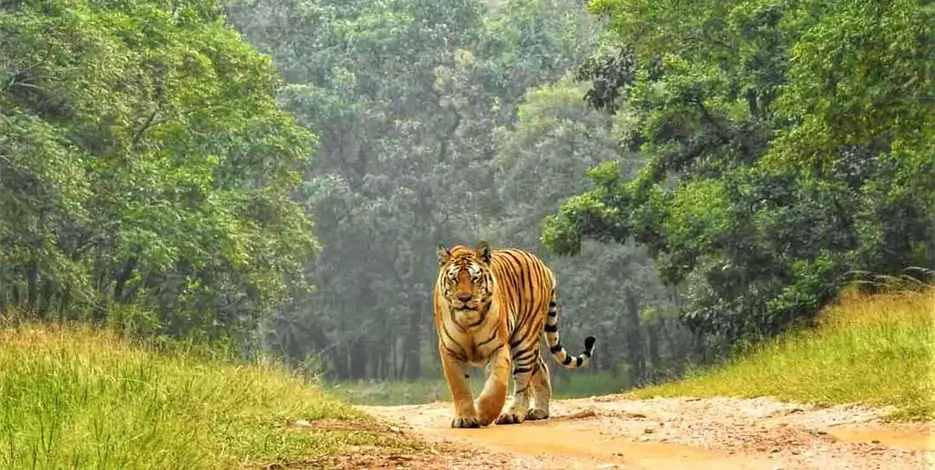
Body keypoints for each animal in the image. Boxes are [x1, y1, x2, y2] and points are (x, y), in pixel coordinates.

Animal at [433, 240, 596, 428]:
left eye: (475, 278)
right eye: (453, 278)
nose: (464, 298)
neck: (469, 322)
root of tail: (543, 266)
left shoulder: (498, 347)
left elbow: (497, 384)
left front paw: (484, 414)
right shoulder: (450, 350)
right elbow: (459, 386)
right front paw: (465, 419)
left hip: (525, 339)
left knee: (523, 381)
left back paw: (513, 414)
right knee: (541, 367)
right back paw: (539, 411)